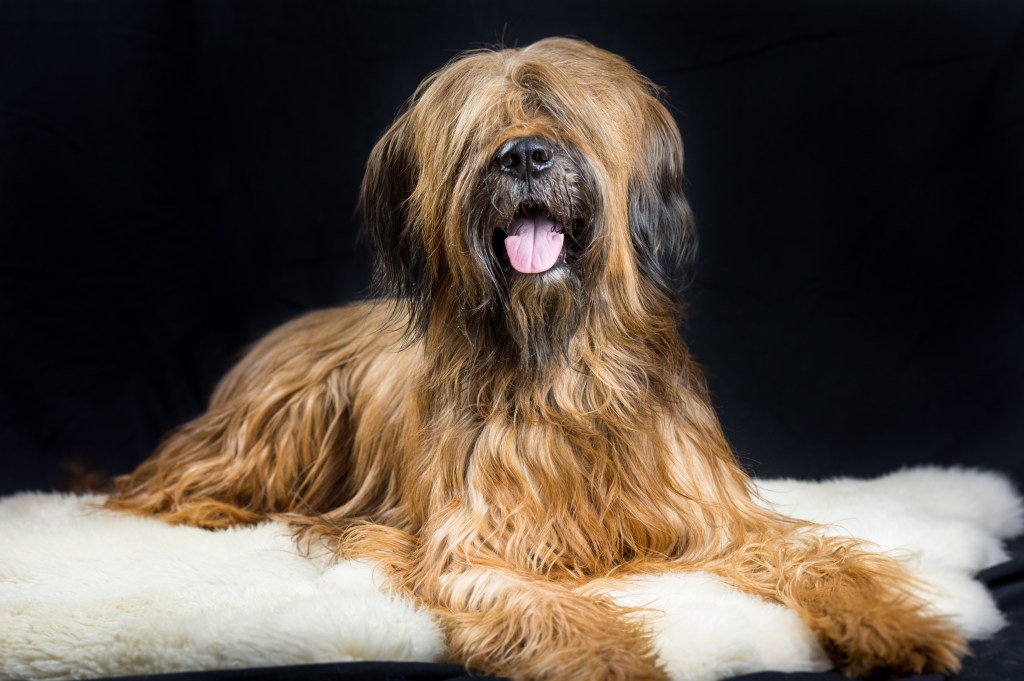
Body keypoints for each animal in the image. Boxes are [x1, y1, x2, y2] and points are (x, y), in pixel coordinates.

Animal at [110, 38, 966, 679]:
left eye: (558, 112)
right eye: (482, 129)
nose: (523, 157)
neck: (562, 368)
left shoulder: (715, 515)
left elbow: (819, 555)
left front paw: (894, 624)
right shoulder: (473, 541)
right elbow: (532, 599)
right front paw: (611, 656)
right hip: (277, 423)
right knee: (152, 485)